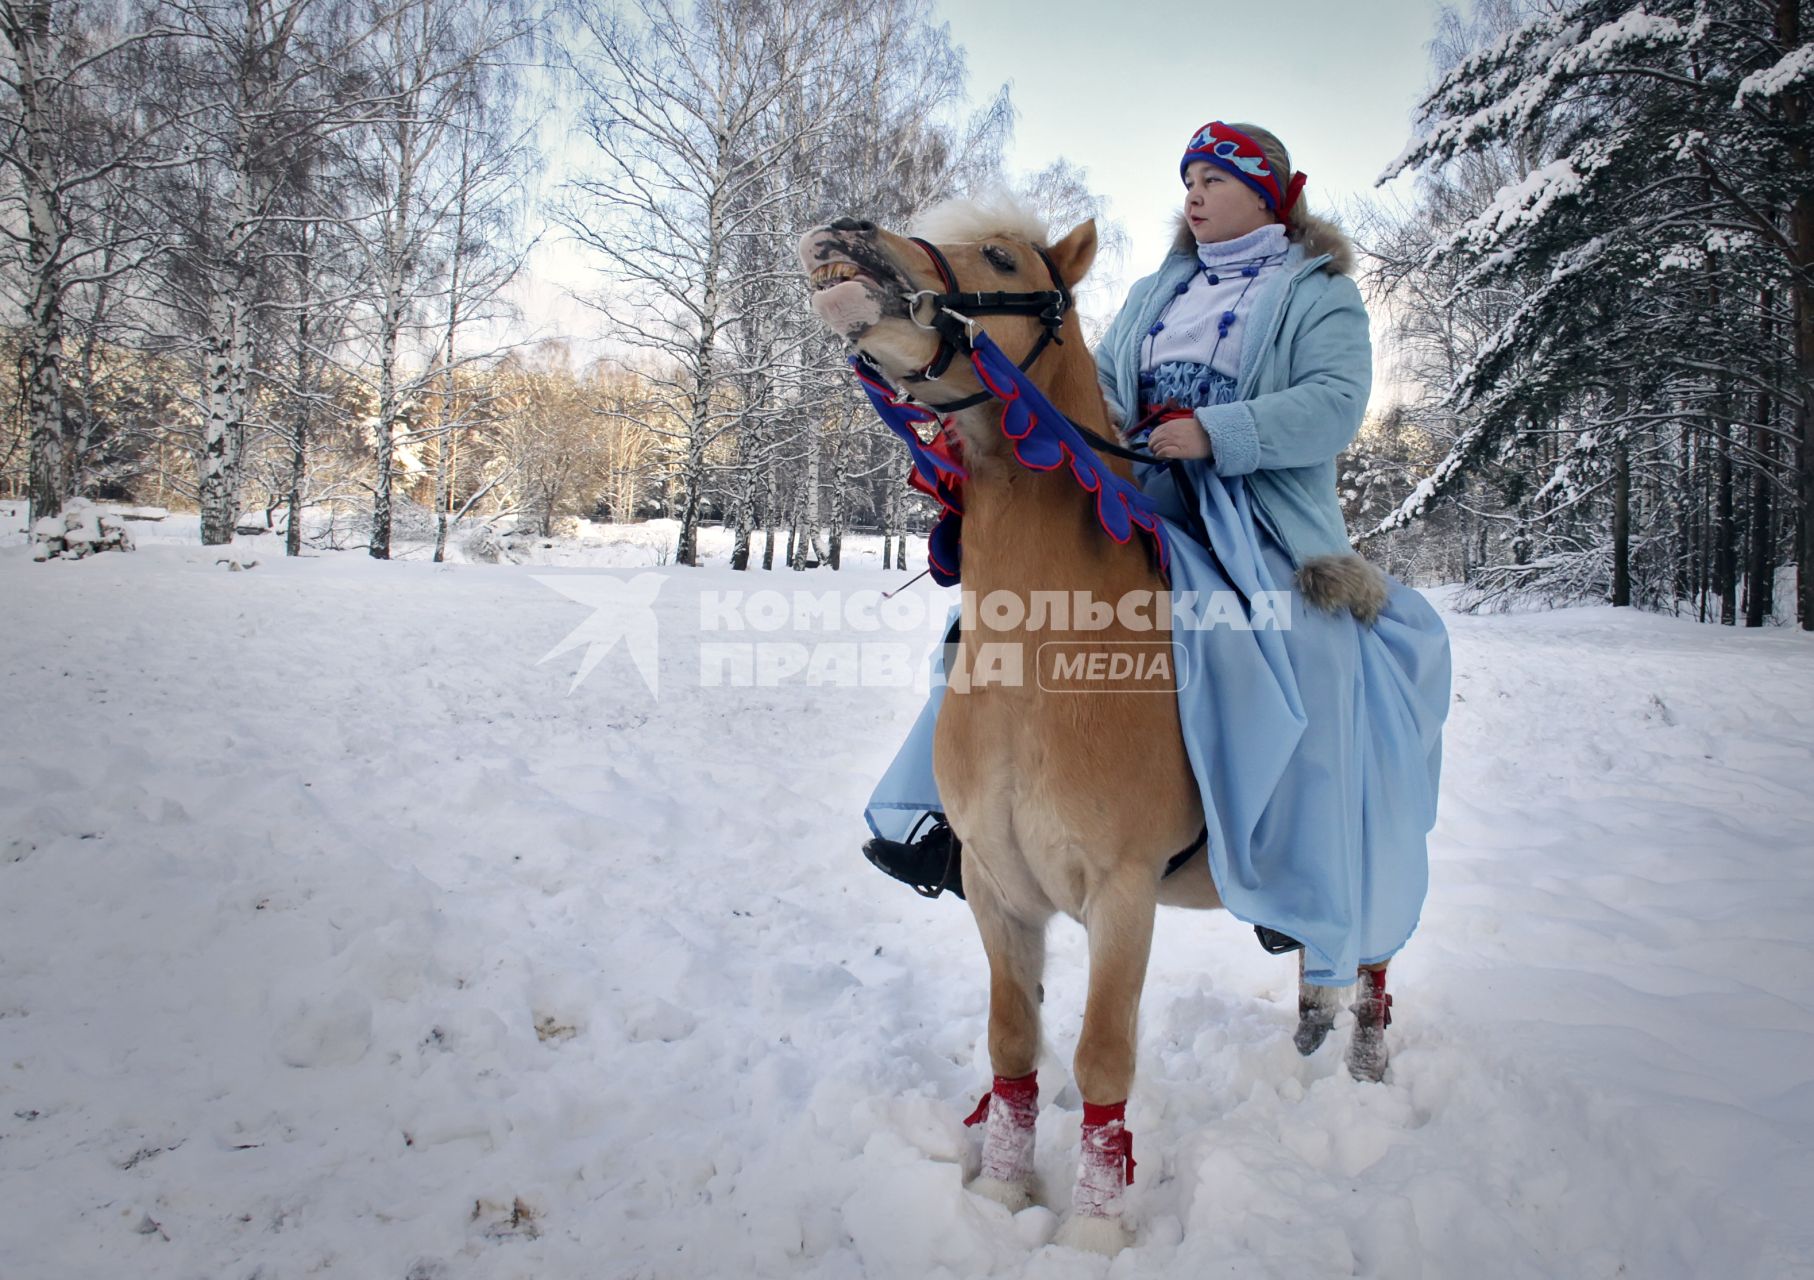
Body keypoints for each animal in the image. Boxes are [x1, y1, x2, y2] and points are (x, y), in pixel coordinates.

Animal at [798, 204, 1385, 1254]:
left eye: (999, 257)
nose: (842, 236)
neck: (1049, 663)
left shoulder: (1122, 895)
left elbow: (1104, 1055)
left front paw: (1093, 1232)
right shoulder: (997, 891)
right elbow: (1014, 1042)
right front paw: (1000, 1194)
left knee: (1373, 957)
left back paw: (1362, 1064)